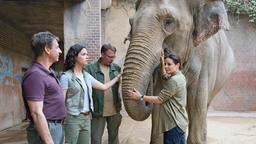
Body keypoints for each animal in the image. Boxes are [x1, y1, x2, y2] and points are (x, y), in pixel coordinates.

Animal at [121, 0, 235, 144]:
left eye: (169, 21)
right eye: (131, 23)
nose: (163, 54)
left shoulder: (207, 59)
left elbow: (197, 102)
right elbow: (160, 98)